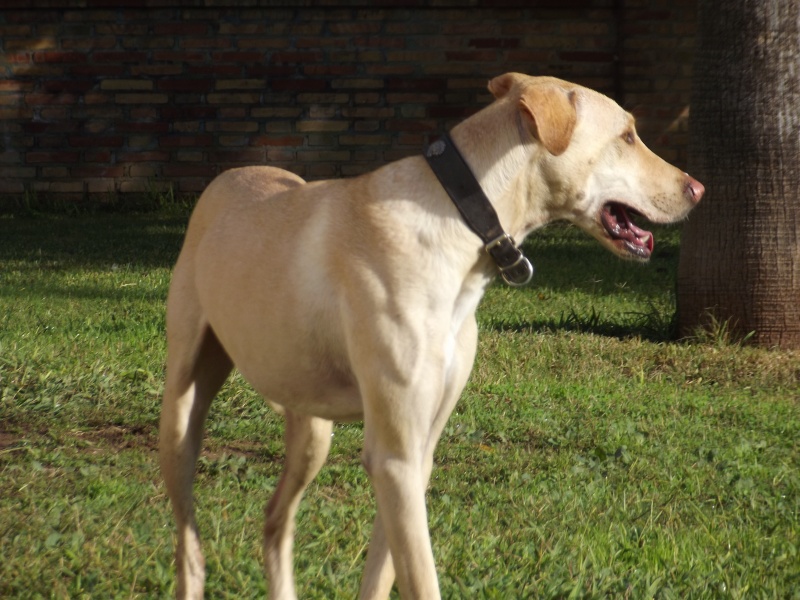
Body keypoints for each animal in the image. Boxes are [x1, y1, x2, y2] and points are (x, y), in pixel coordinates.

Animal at [159, 72, 704, 596]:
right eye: (627, 135)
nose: (698, 189)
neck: (461, 218)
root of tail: (229, 175)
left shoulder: (416, 457)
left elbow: (382, 576)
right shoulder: (395, 458)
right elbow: (421, 579)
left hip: (312, 431)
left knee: (275, 521)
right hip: (181, 421)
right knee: (190, 547)